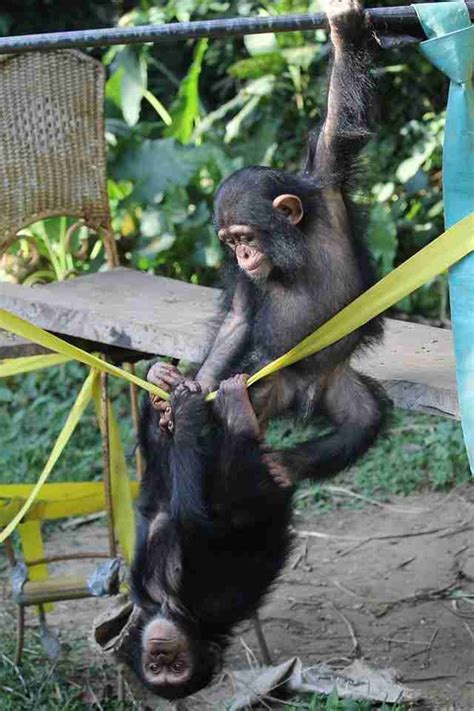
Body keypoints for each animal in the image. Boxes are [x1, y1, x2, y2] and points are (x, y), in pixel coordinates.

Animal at [128, 372, 294, 700]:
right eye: (155, 668)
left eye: (177, 667)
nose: (162, 653)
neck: (169, 606)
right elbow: (165, 503)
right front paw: (170, 403)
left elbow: (185, 511)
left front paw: (174, 406)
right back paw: (236, 415)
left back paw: (234, 411)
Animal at [152, 0, 388, 486]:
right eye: (228, 243)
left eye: (244, 237)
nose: (243, 254)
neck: (295, 245)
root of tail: (306, 396)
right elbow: (239, 319)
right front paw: (195, 384)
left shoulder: (327, 183)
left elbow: (340, 127)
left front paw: (344, 32)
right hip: (274, 378)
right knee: (250, 385)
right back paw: (217, 406)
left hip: (337, 380)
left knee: (362, 421)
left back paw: (285, 464)